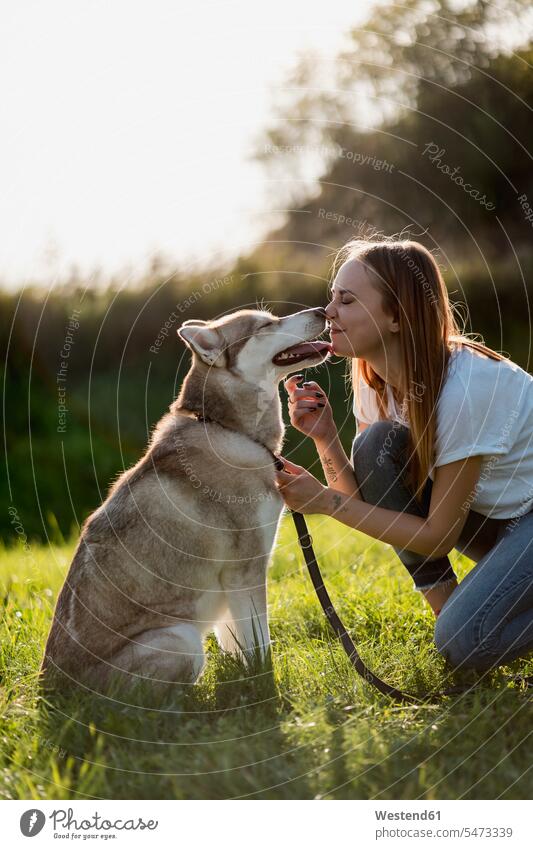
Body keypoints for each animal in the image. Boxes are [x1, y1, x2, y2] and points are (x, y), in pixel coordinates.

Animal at [41, 304, 330, 688]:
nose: (322, 309)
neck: (227, 428)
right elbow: (261, 649)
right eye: (265, 325)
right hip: (182, 640)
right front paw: (265, 688)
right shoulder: (245, 570)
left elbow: (242, 648)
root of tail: (47, 690)